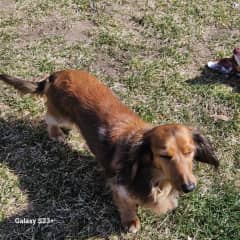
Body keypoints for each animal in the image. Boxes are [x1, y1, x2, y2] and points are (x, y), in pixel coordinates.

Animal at [0, 70, 218, 232]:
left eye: (190, 152)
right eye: (165, 155)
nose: (190, 187)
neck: (153, 177)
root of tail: (57, 74)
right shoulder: (119, 187)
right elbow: (127, 206)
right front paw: (131, 222)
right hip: (62, 116)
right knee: (49, 117)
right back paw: (56, 134)